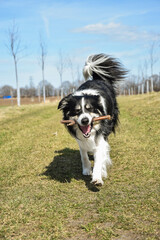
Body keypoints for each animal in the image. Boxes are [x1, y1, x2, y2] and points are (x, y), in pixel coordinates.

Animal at [58, 54, 125, 186]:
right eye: (77, 111)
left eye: (90, 109)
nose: (85, 120)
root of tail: (97, 78)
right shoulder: (80, 139)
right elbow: (83, 154)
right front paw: (86, 169)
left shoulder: (101, 136)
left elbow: (99, 157)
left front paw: (97, 177)